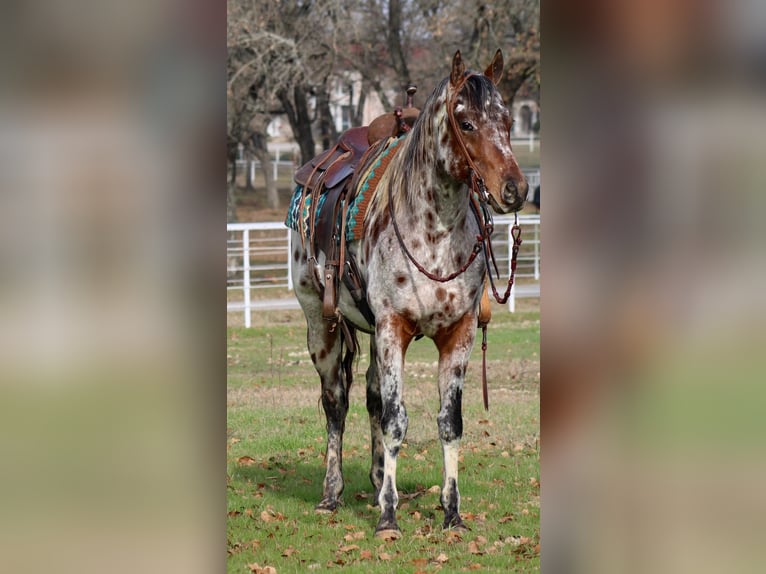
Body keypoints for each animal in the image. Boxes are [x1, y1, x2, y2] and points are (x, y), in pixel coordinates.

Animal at [286, 50, 528, 540]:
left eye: (508, 120)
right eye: (466, 123)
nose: (515, 189)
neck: (434, 233)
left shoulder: (457, 334)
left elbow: (448, 424)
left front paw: (451, 512)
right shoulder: (392, 328)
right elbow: (396, 421)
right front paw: (388, 518)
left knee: (371, 397)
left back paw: (379, 477)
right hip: (321, 325)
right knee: (336, 404)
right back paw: (331, 494)